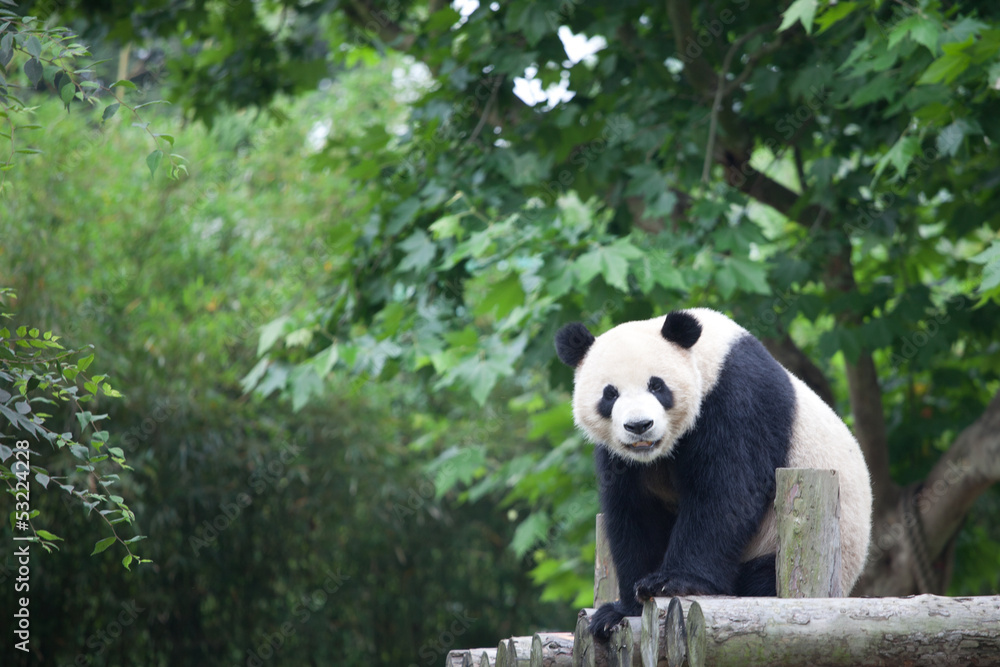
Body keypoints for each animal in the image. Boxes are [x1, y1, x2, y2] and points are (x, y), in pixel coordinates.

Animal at [555, 308, 873, 640]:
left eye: (657, 386)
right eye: (610, 394)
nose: (639, 425)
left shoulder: (737, 398)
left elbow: (726, 492)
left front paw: (671, 581)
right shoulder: (623, 458)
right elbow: (635, 512)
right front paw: (620, 610)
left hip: (789, 546)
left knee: (761, 579)